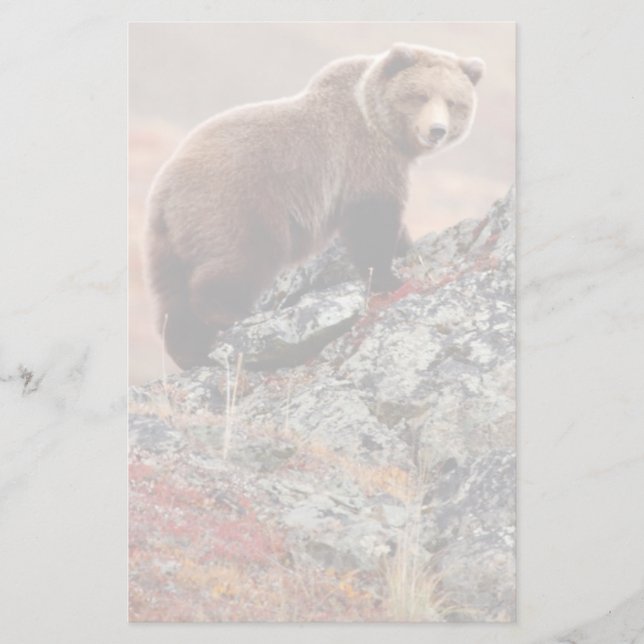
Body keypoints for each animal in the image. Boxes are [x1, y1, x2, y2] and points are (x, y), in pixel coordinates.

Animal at [145, 43, 484, 369]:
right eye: (420, 96)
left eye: (453, 102)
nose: (436, 130)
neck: (381, 125)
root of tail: (165, 190)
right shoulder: (363, 157)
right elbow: (372, 221)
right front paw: (390, 278)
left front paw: (405, 249)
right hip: (235, 205)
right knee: (240, 259)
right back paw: (227, 314)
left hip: (167, 239)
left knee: (172, 295)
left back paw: (188, 351)